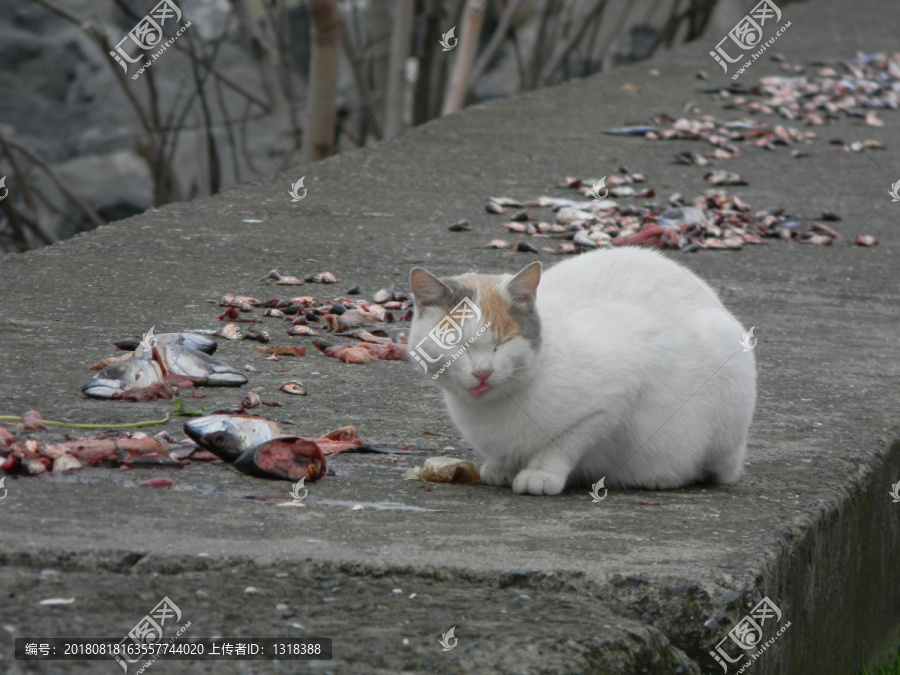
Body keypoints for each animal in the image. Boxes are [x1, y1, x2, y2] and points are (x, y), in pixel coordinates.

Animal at [412, 248, 756, 496]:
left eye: (502, 343)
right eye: (457, 344)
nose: (483, 372)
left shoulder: (613, 396)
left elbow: (564, 443)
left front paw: (541, 472)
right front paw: (502, 466)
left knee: (715, 469)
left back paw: (664, 476)